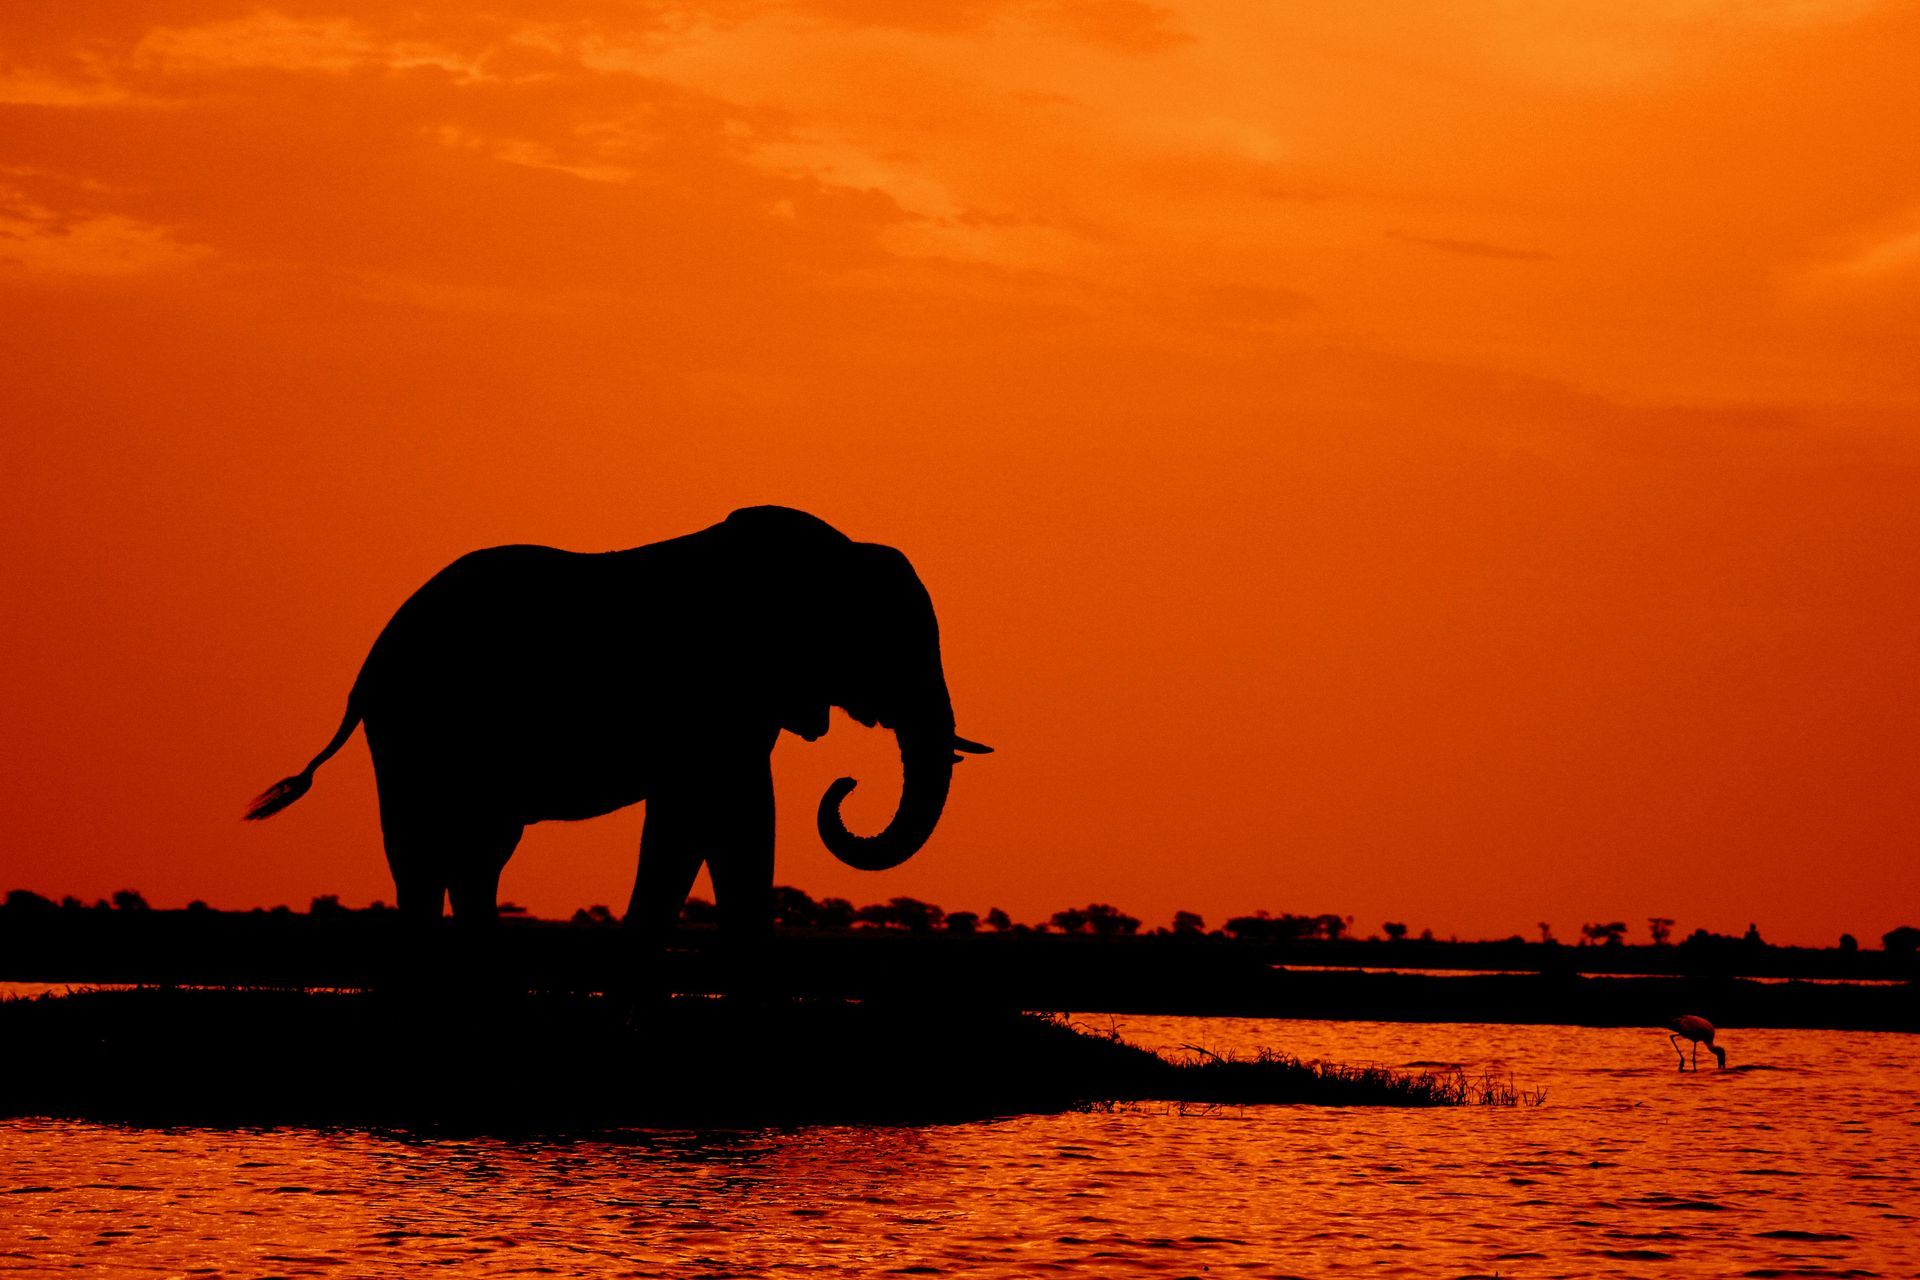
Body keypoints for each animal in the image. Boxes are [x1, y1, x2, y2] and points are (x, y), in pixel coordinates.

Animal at [243, 506, 990, 955]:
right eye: (890, 644)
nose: (846, 785)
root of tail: (370, 661)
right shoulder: (712, 693)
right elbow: (713, 817)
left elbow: (718, 823)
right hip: (413, 728)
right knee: (422, 854)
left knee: (476, 855)